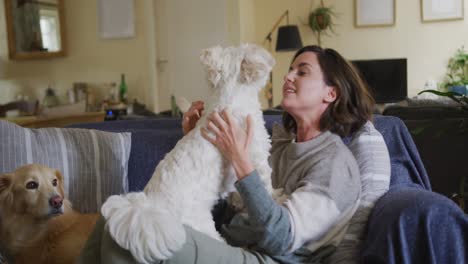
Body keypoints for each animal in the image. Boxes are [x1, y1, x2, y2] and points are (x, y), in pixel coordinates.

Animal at [100, 43, 272, 264]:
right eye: (248, 48)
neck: (227, 101)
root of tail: (154, 208)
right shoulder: (257, 159)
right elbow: (268, 186)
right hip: (204, 228)